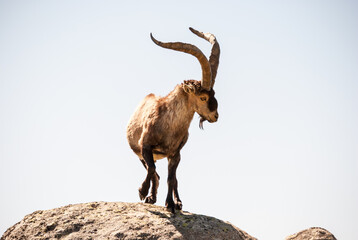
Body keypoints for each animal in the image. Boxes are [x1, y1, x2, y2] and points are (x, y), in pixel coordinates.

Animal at [126, 27, 221, 213]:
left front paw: (170, 204)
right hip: (140, 154)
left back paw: (177, 202)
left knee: (172, 177)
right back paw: (151, 197)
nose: (215, 116)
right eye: (203, 97)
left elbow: (171, 178)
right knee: (154, 172)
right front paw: (142, 192)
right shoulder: (145, 147)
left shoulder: (174, 153)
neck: (168, 125)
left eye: (214, 94)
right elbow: (152, 169)